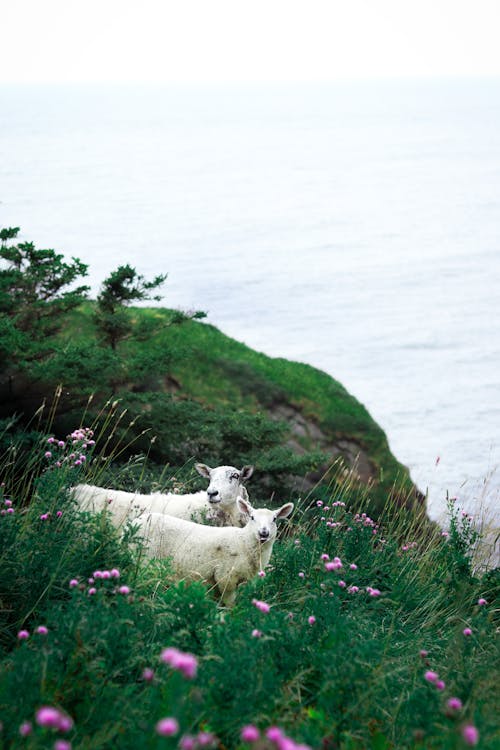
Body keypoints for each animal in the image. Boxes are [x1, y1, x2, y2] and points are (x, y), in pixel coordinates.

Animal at [135, 496, 294, 608]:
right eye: (252, 517)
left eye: (274, 519)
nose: (263, 533)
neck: (244, 541)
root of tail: (134, 523)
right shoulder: (226, 577)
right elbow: (230, 603)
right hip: (145, 560)